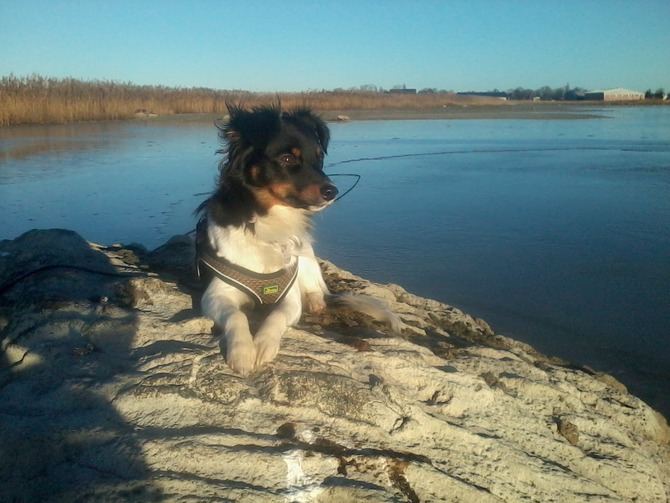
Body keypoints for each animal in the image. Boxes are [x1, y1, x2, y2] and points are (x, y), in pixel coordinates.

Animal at [196, 105, 404, 374]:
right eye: (287, 159)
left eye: (319, 158)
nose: (332, 191)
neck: (270, 221)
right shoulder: (216, 295)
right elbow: (236, 315)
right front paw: (242, 351)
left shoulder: (290, 298)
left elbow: (276, 317)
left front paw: (262, 345)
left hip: (305, 254)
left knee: (316, 288)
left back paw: (315, 302)